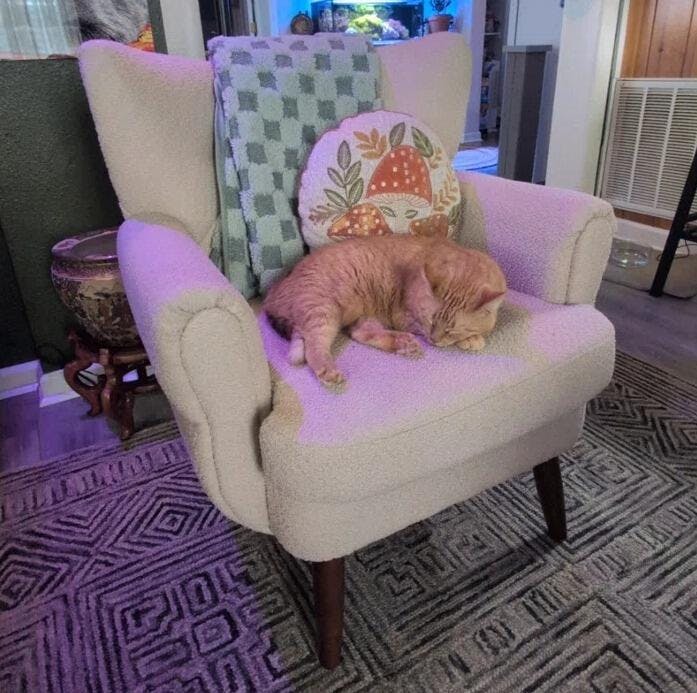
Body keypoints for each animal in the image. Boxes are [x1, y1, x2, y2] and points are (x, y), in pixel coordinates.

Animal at [263, 235, 507, 389]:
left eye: (451, 330)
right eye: (430, 321)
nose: (434, 341)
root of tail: (273, 290)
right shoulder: (404, 317)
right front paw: (472, 339)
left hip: (360, 316)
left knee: (361, 334)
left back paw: (403, 344)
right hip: (322, 311)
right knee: (314, 348)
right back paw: (328, 371)